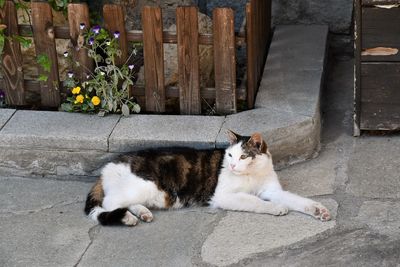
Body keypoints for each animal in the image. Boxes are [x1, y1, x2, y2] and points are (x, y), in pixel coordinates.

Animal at [85, 131, 332, 227]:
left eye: (243, 156)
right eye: (230, 155)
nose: (232, 165)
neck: (250, 174)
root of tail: (108, 166)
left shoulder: (272, 190)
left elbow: (298, 200)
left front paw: (319, 210)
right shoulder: (223, 196)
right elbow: (255, 201)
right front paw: (277, 208)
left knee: (123, 203)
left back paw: (142, 213)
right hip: (144, 185)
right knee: (108, 204)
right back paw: (127, 218)